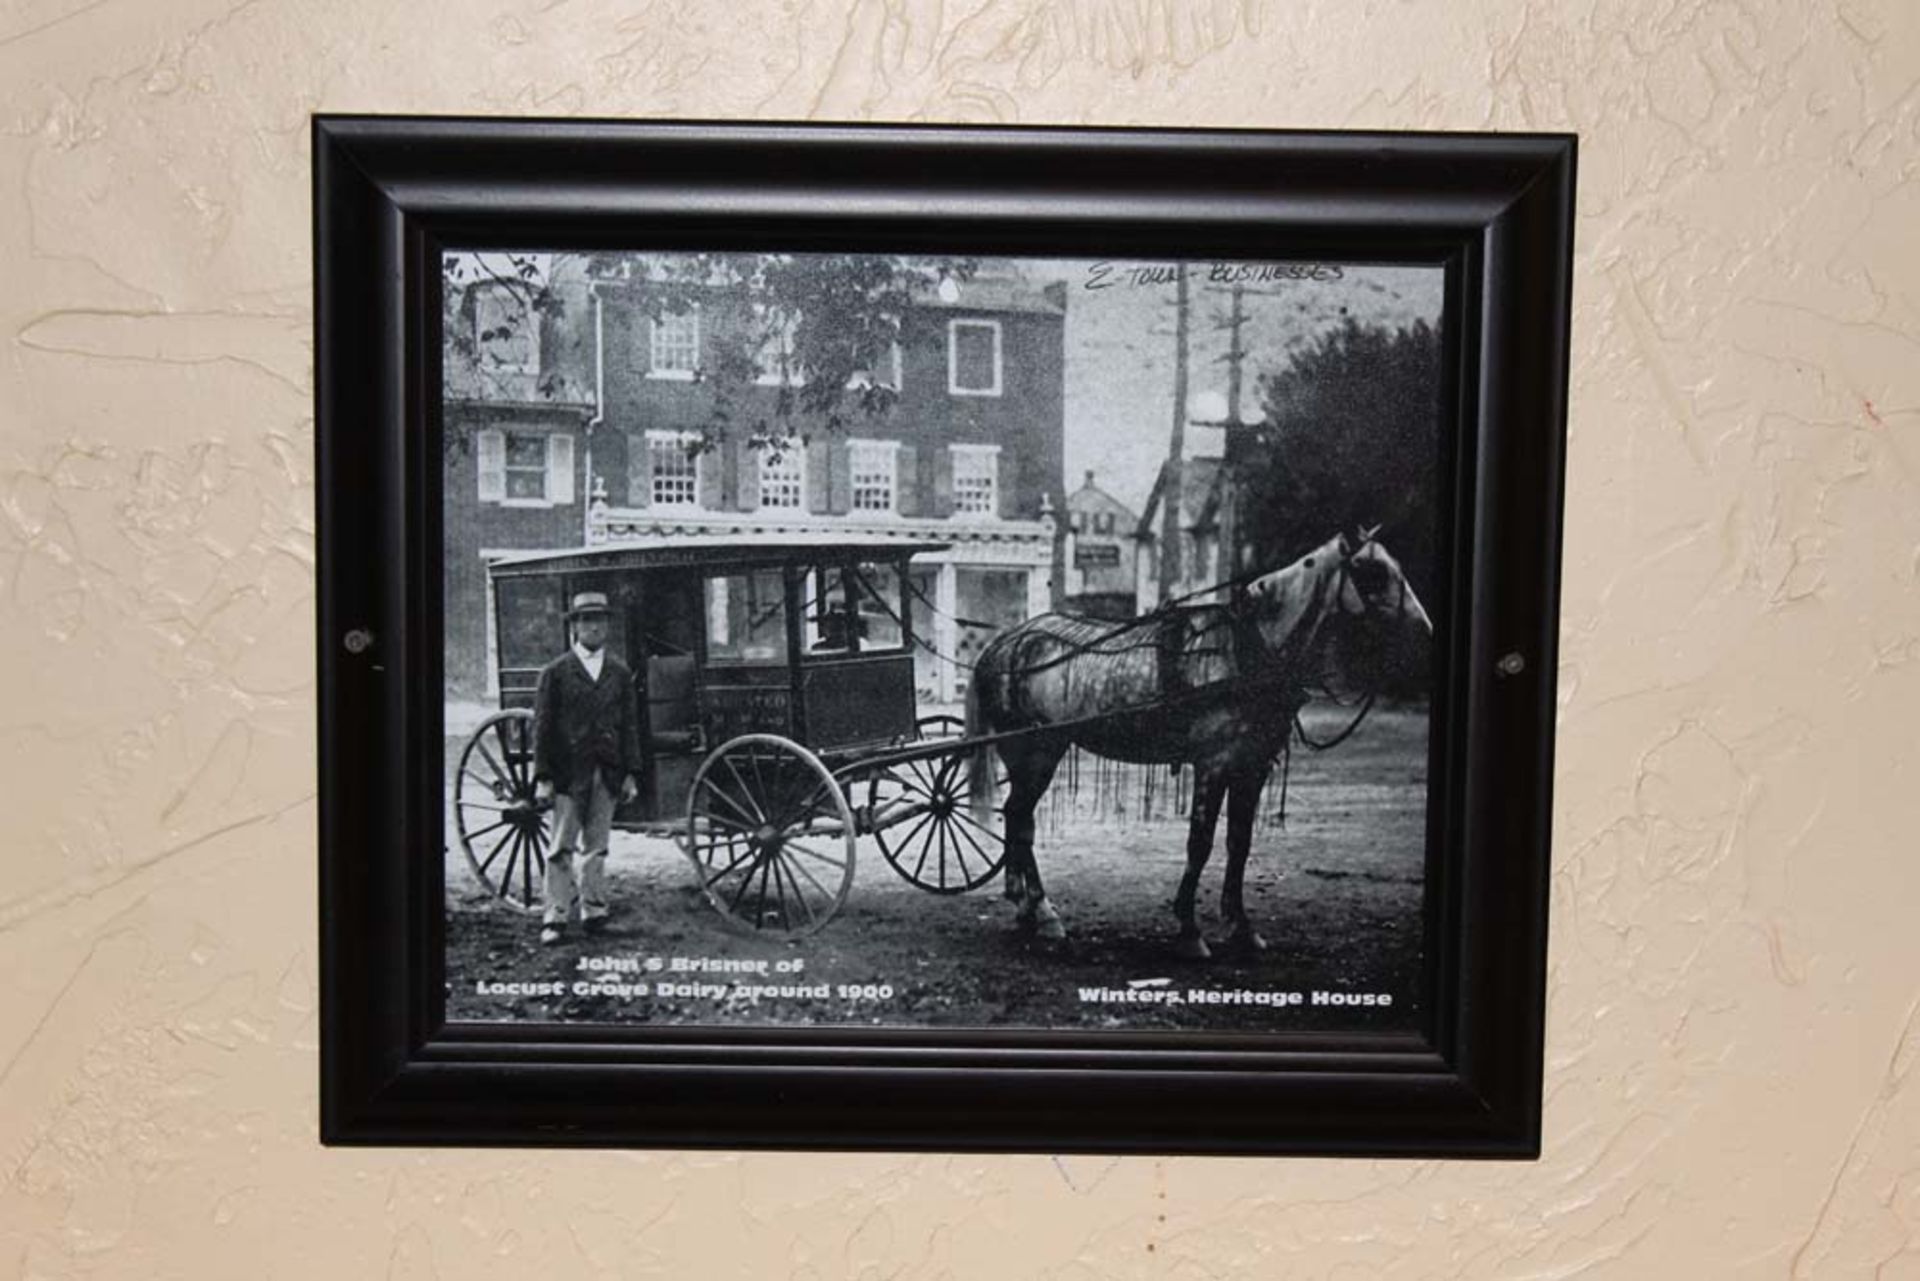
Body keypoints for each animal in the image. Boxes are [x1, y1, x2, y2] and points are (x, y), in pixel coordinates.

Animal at [967, 526, 1436, 956]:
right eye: (1373, 571)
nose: (1426, 634)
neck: (1248, 650)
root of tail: (1003, 642)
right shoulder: (1213, 764)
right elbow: (1200, 843)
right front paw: (1190, 930)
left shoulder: (1251, 767)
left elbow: (1238, 844)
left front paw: (1241, 926)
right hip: (1036, 752)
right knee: (1021, 819)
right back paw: (1043, 912)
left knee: (1017, 818)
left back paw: (1025, 907)